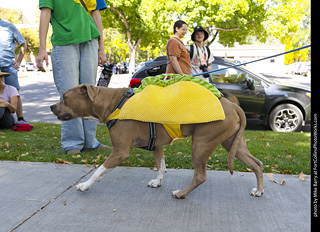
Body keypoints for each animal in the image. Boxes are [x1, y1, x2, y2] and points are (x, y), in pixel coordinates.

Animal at [50, 84, 264, 198]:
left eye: (65, 97)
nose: (51, 107)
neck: (113, 103)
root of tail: (233, 105)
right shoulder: (157, 145)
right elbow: (161, 165)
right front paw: (158, 181)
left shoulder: (119, 152)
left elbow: (99, 170)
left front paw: (85, 185)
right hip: (233, 143)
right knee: (257, 164)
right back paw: (259, 190)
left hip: (202, 143)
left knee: (200, 176)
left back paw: (181, 194)